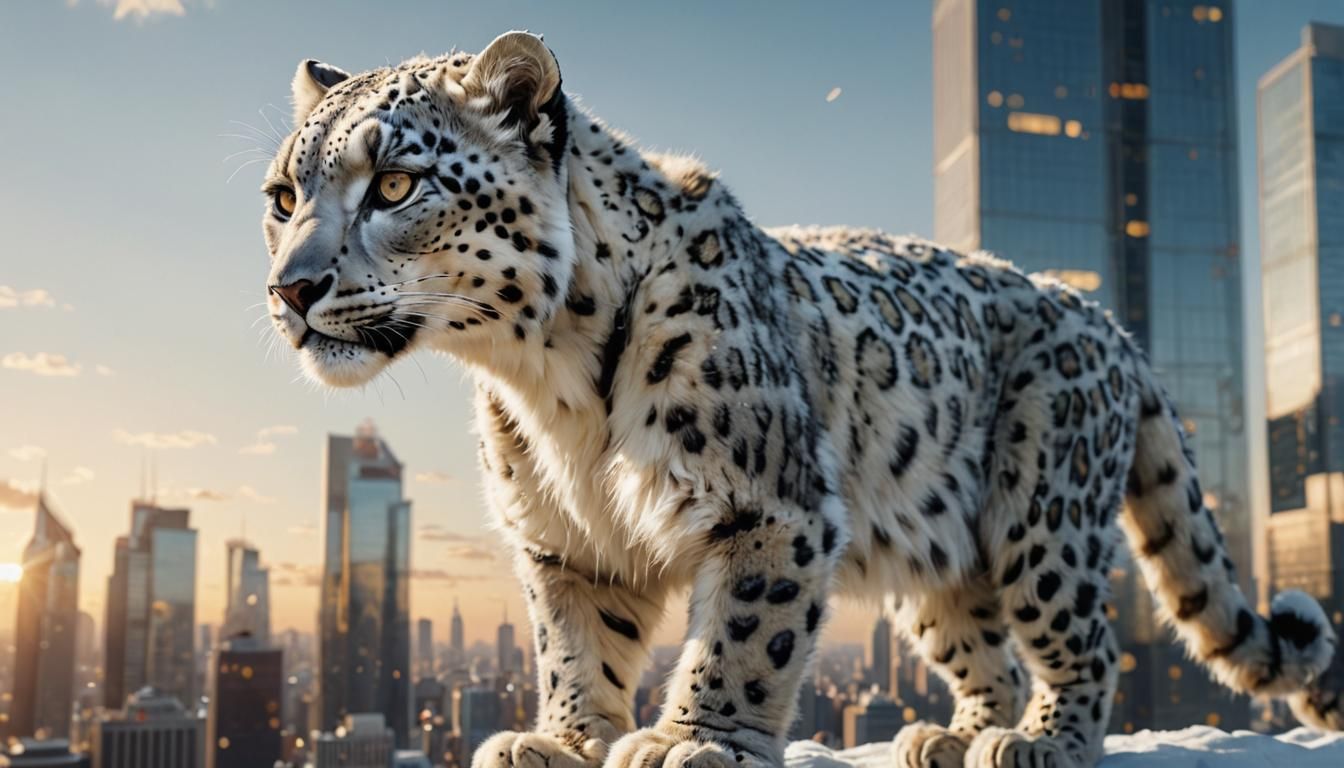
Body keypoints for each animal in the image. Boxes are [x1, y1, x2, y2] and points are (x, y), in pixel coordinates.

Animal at [259, 31, 1343, 768]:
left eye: (395, 183)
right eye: (282, 197)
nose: (290, 290)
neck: (540, 382)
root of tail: (1104, 317)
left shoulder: (767, 504)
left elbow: (746, 632)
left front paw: (692, 740)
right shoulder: (564, 540)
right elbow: (574, 645)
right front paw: (563, 739)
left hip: (1044, 513)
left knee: (1087, 641)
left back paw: (1039, 741)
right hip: (936, 565)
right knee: (988, 653)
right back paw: (952, 736)